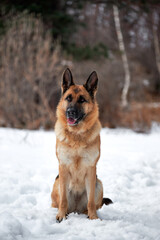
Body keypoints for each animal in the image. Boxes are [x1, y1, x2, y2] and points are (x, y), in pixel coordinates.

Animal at [51, 67, 111, 221]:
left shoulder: (91, 168)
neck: (76, 135)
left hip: (98, 183)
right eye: (68, 98)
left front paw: (94, 218)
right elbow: (63, 200)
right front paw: (61, 216)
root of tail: (76, 209)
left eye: (82, 100)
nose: (70, 112)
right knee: (59, 202)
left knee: (91, 203)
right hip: (57, 182)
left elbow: (90, 202)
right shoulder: (63, 167)